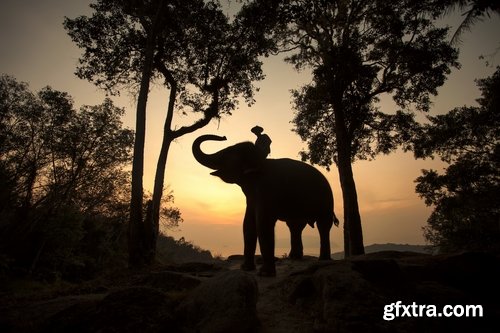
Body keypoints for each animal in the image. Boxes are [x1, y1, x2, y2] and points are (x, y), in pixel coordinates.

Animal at [192, 134, 340, 276]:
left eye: (227, 154)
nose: (223, 137)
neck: (260, 161)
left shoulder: (268, 190)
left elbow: (263, 223)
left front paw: (264, 273)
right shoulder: (252, 197)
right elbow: (248, 223)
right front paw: (246, 268)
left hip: (326, 201)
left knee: (323, 225)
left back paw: (323, 260)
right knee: (295, 226)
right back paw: (295, 257)